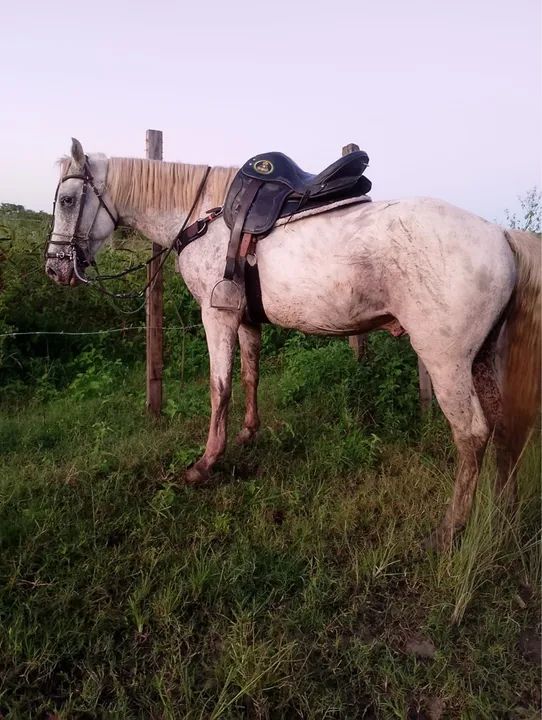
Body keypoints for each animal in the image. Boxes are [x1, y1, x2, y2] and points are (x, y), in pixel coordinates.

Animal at [45, 138, 540, 551]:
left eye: (68, 200)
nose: (55, 269)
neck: (202, 216)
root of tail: (500, 235)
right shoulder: (246, 319)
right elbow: (250, 375)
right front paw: (247, 434)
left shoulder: (216, 315)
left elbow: (219, 387)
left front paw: (205, 463)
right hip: (483, 357)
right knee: (502, 427)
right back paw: (504, 510)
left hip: (446, 361)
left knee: (472, 434)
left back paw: (450, 529)